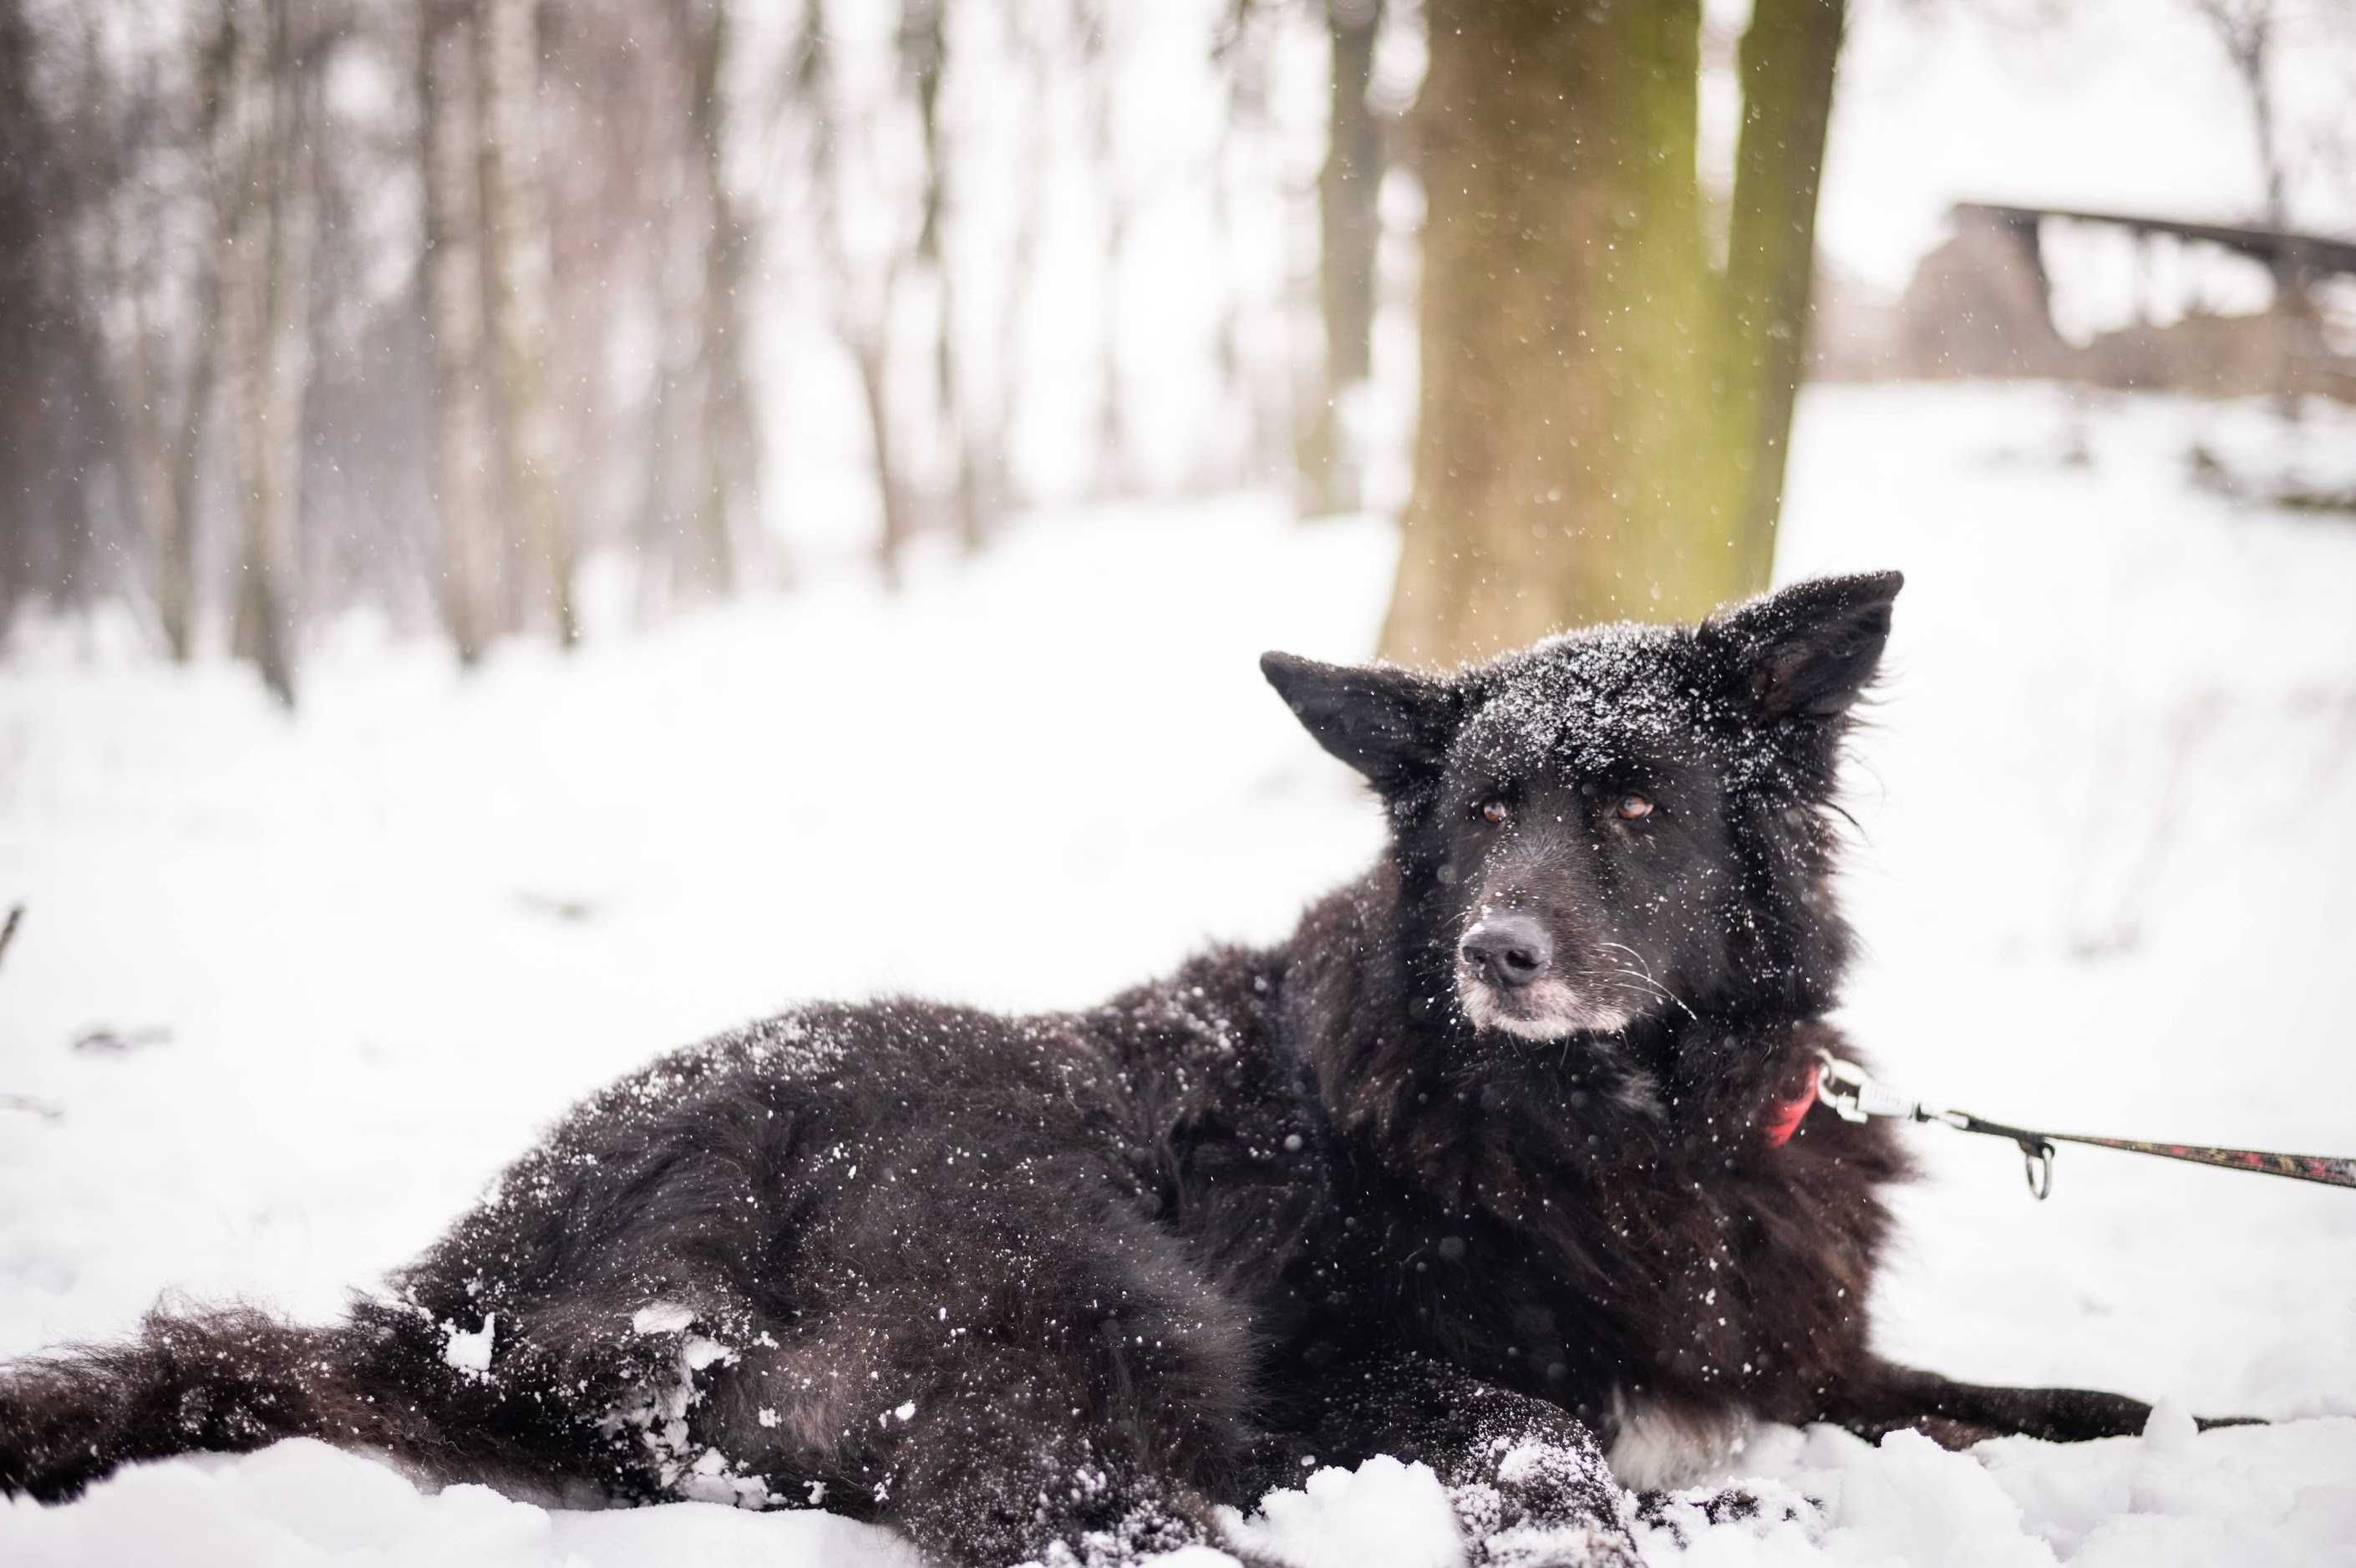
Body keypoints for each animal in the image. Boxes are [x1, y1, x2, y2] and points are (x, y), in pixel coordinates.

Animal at [0, 571, 2186, 1554]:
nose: (1498, 950)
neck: (1605, 1117)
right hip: (1077, 1268)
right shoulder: (1339, 1369)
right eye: (1485, 811)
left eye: (1639, 808)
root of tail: (465, 1283)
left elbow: (2000, 1401)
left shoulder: (1800, 1351)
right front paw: (1669, 1511)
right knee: (1061, 1500)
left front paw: (2122, 1423)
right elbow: (1542, 1434)